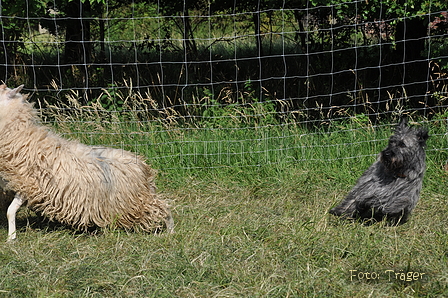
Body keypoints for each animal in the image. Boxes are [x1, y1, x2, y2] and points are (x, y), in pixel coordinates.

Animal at [0, 85, 173, 241]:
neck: (22, 135)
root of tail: (142, 166)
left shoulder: (29, 183)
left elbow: (10, 210)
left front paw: (11, 237)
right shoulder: (24, 184)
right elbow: (11, 210)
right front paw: (12, 236)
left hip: (136, 201)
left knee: (164, 208)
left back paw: (170, 232)